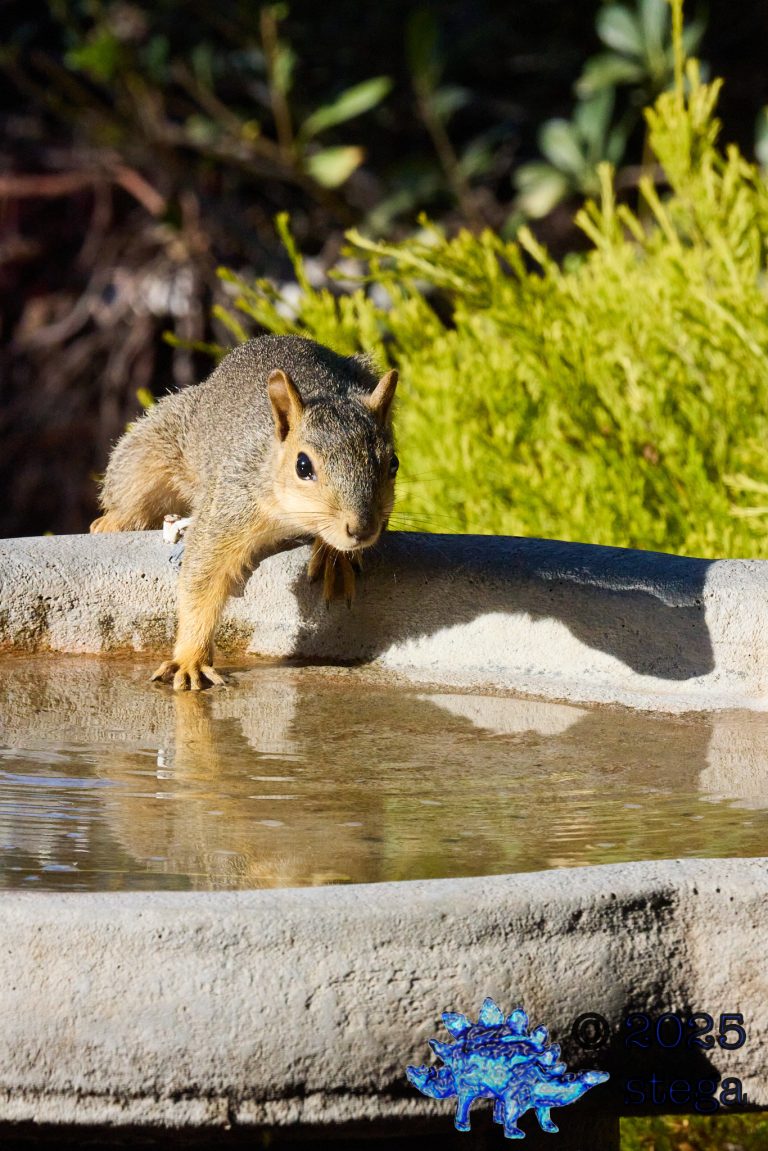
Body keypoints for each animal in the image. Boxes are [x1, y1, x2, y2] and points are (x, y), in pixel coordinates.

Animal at [90, 335, 399, 690]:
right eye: (302, 465)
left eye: (394, 464)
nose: (361, 529)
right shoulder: (228, 506)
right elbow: (201, 578)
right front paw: (190, 659)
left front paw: (335, 559)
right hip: (157, 446)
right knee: (132, 483)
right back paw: (109, 522)